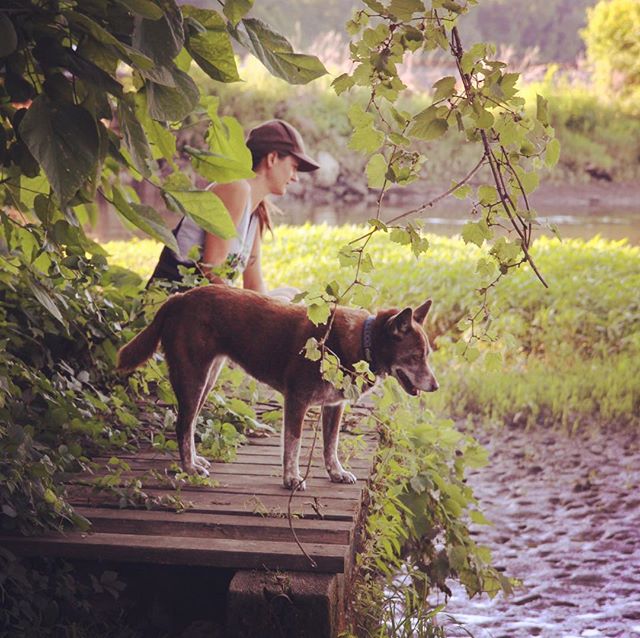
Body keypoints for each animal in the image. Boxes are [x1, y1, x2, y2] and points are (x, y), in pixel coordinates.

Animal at [116, 284, 440, 490]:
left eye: (427, 355)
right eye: (414, 357)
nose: (435, 386)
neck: (363, 340)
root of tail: (180, 297)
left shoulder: (334, 407)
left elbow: (330, 445)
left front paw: (336, 473)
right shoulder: (296, 401)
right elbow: (292, 446)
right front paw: (291, 480)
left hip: (206, 379)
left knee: (190, 422)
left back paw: (195, 460)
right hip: (193, 376)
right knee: (182, 424)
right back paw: (190, 469)